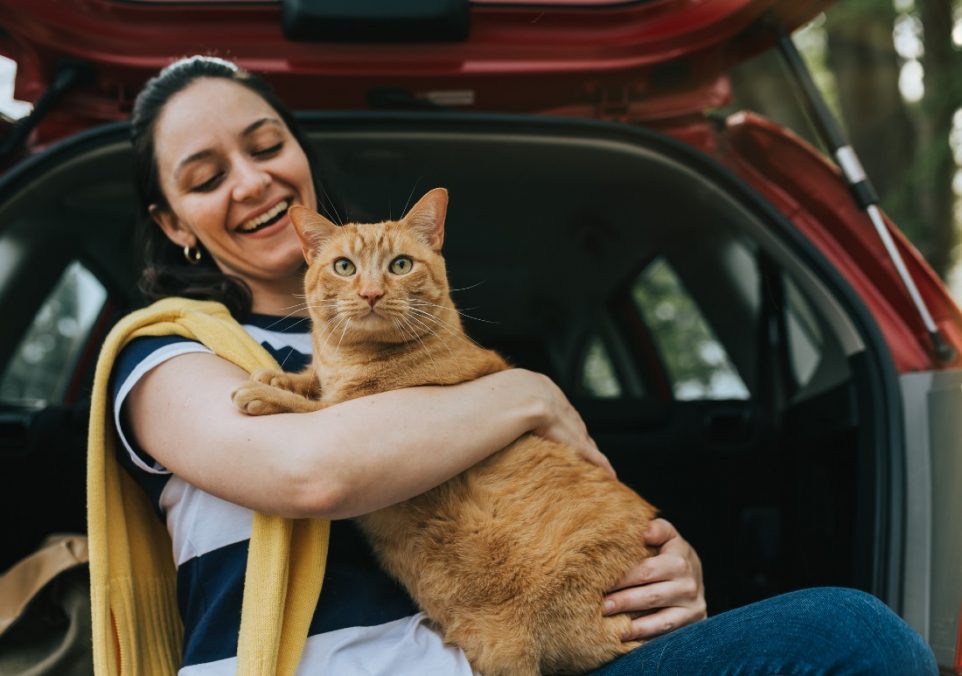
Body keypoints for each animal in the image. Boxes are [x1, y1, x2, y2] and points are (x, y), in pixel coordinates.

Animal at [230, 187, 656, 672]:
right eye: (344, 267)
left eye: (400, 265)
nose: (371, 293)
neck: (349, 359)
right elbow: (311, 380)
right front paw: (280, 376)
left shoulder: (366, 411)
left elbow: (314, 408)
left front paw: (266, 393)